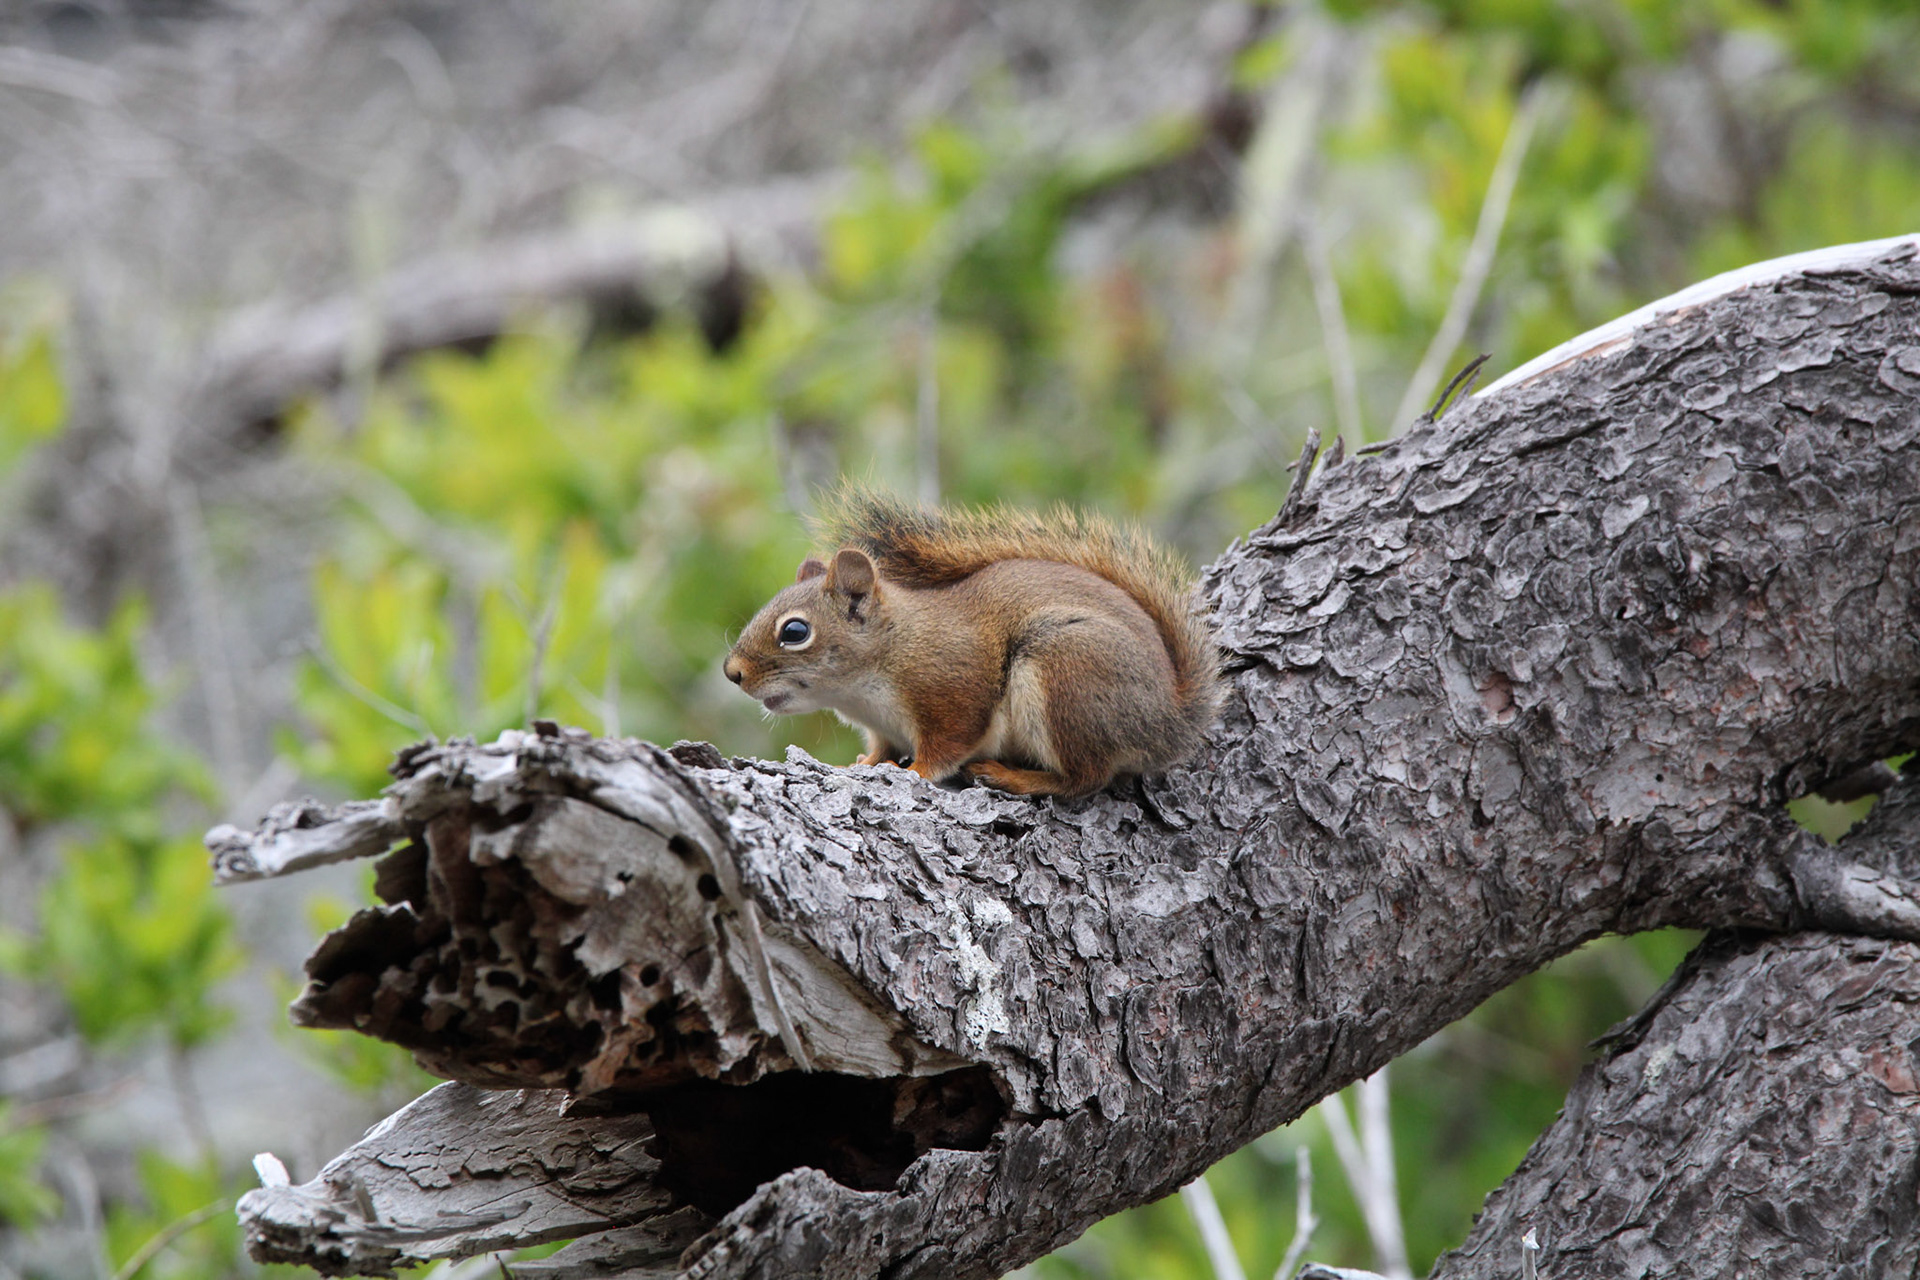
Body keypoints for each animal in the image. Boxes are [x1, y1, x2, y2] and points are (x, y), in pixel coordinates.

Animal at [723, 489, 1220, 797]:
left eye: (794, 632)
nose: (733, 673)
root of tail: (1170, 719)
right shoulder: (882, 728)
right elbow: (880, 750)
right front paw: (861, 764)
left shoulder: (952, 689)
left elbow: (949, 743)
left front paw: (915, 772)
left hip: (1067, 671)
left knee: (1085, 777)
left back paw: (1013, 778)